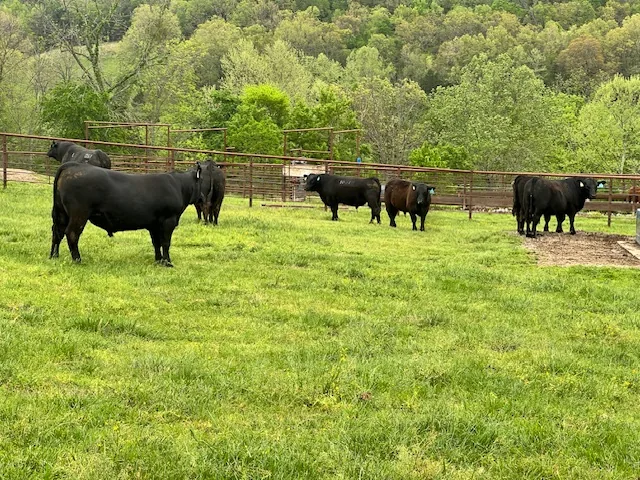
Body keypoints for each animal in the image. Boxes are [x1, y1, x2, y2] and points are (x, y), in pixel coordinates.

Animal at [50, 162, 202, 267]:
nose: (202, 198)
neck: (179, 185)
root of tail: (73, 165)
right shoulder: (168, 220)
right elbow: (165, 242)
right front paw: (167, 263)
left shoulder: (154, 224)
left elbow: (156, 243)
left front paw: (158, 261)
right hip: (79, 213)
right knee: (72, 233)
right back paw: (78, 260)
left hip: (62, 213)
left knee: (57, 232)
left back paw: (54, 256)